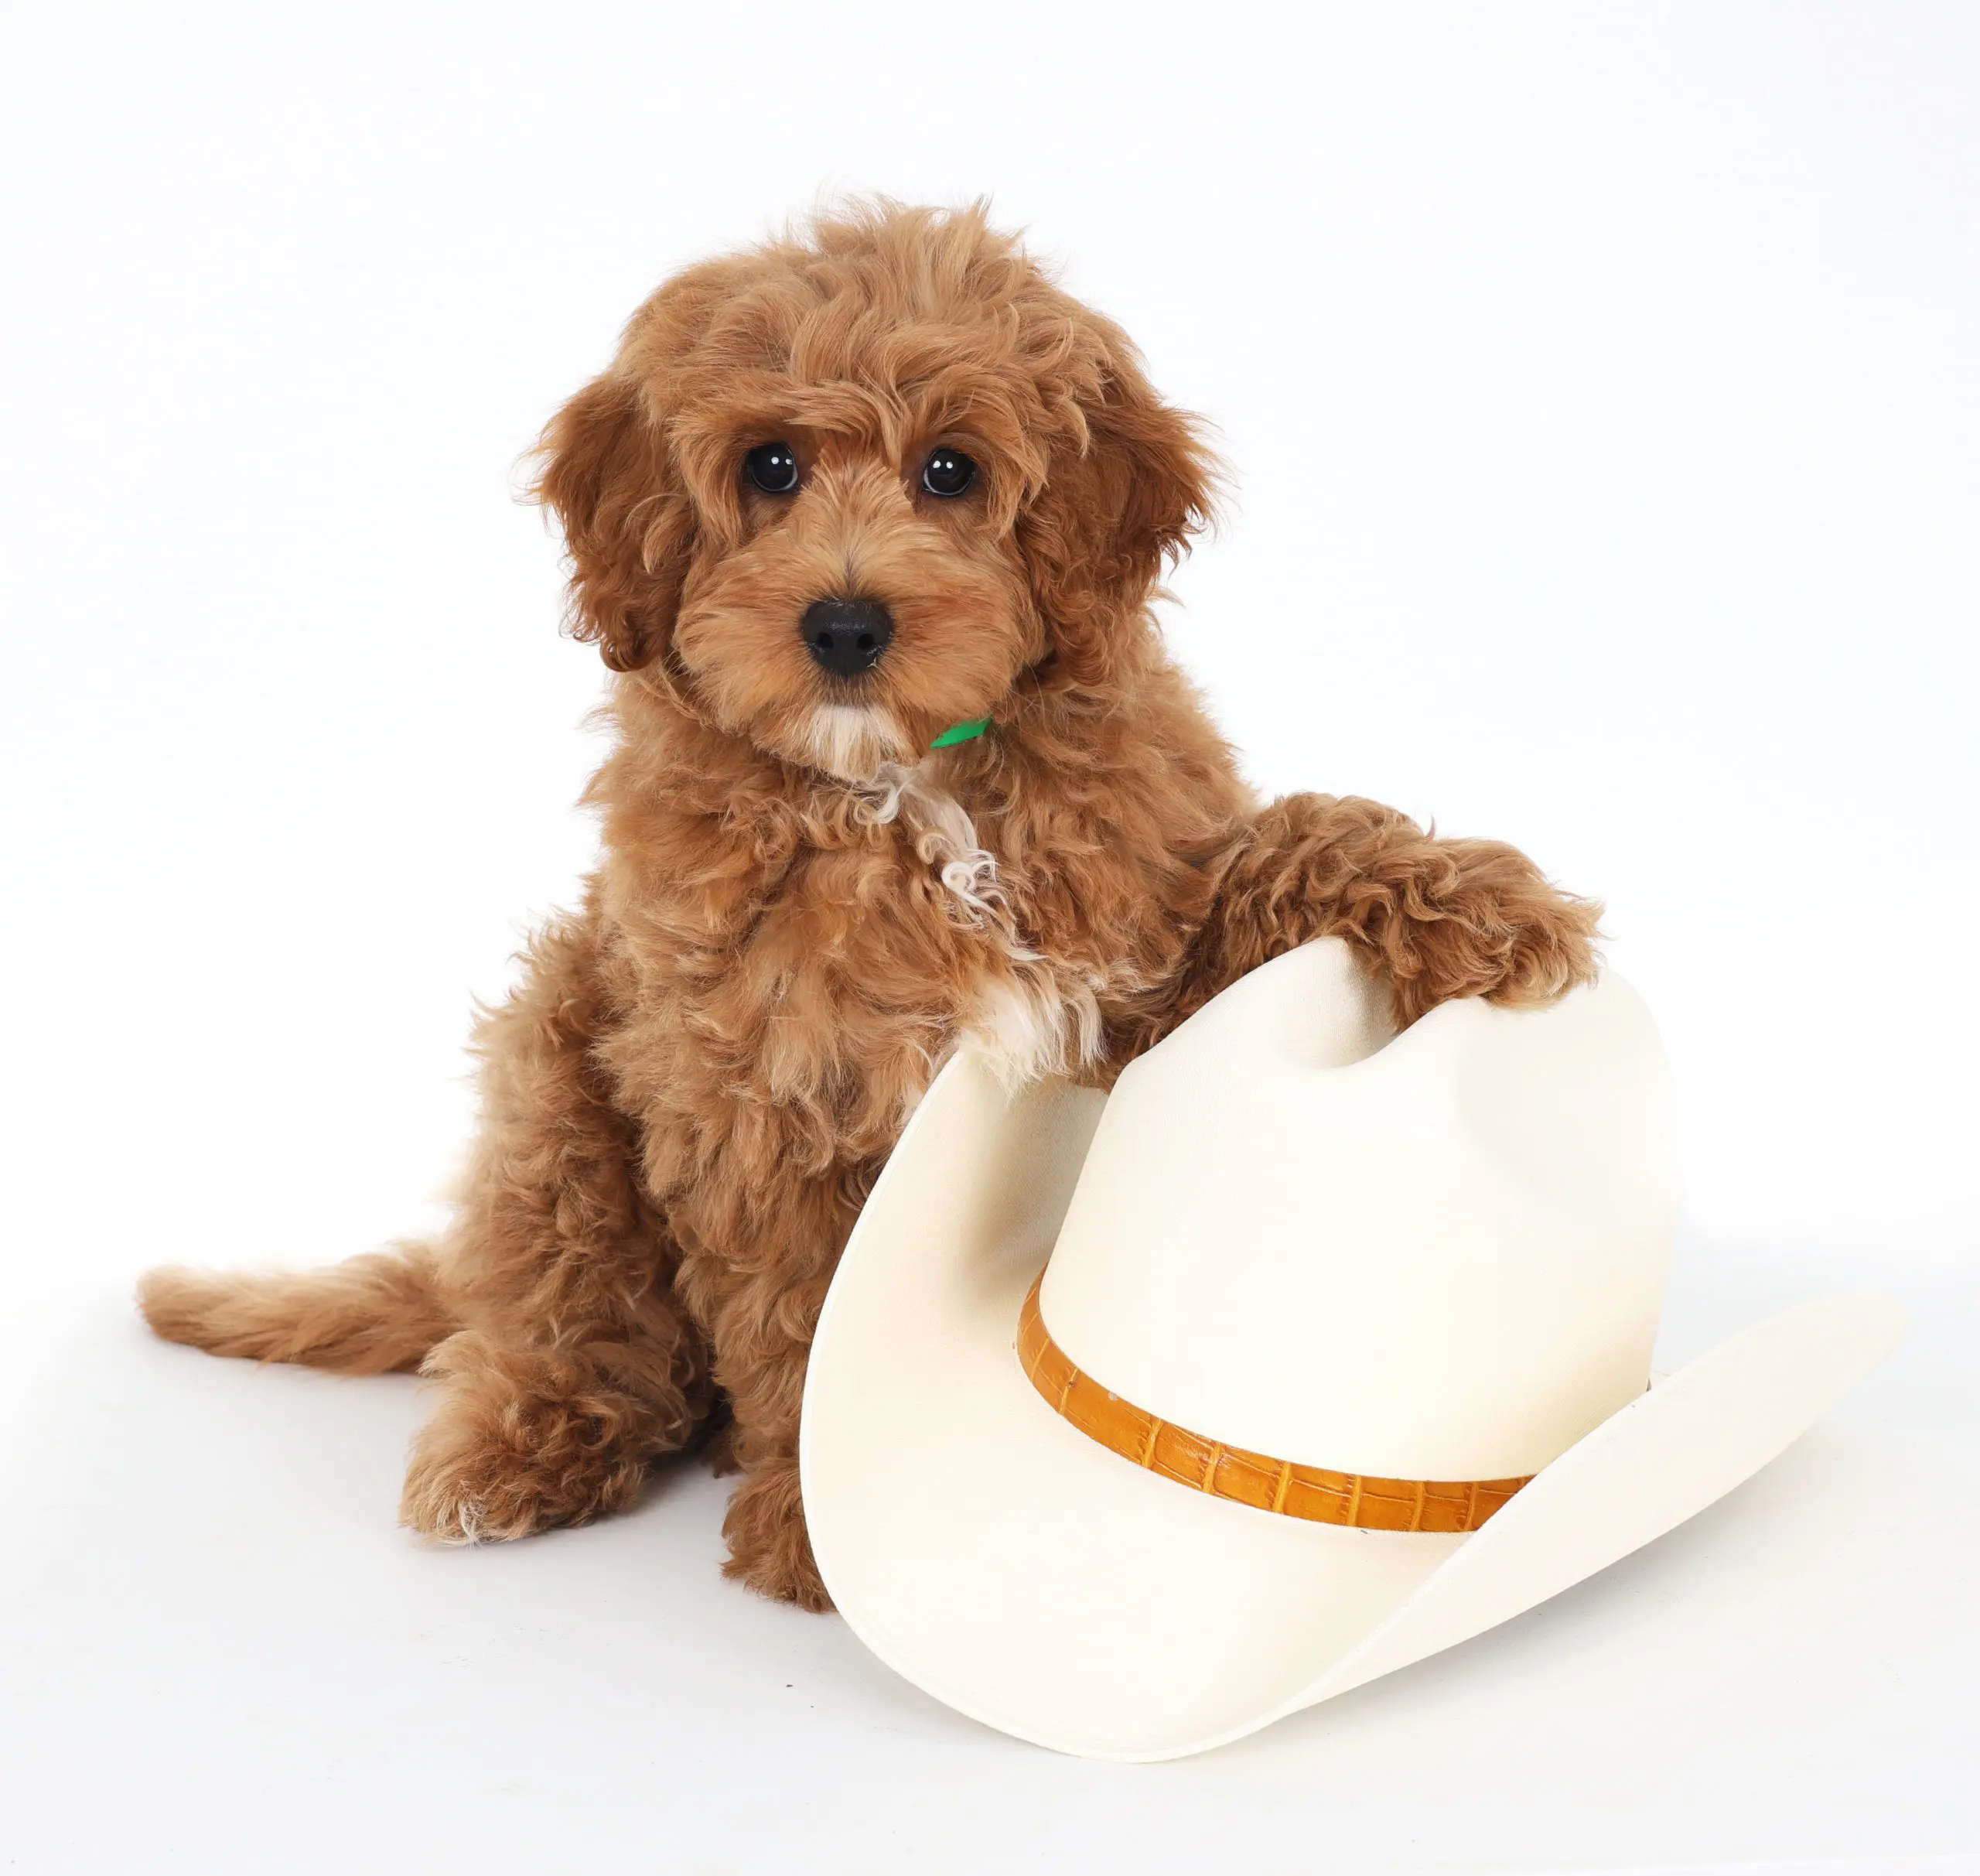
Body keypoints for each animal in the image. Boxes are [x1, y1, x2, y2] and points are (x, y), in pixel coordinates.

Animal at [139, 205, 1599, 1616]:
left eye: (951, 471)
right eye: (769, 468)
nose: (845, 624)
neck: (908, 792)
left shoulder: (1149, 934)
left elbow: (1291, 845)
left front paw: (1485, 903)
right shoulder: (756, 1093)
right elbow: (798, 1323)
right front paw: (811, 1529)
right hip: (553, 1052)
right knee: (564, 1301)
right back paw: (522, 1446)